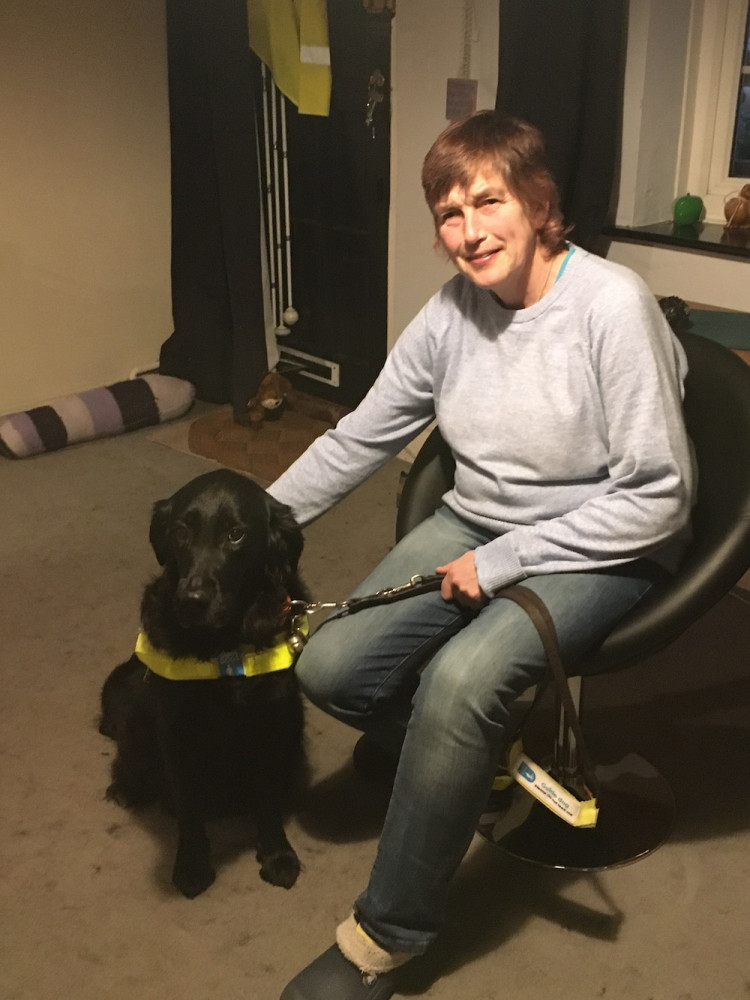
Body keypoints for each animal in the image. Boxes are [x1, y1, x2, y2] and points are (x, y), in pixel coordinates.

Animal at [98, 468, 310, 900]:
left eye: (236, 534)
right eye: (181, 532)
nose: (193, 599)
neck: (221, 646)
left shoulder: (269, 724)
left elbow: (266, 798)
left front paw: (277, 853)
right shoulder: (177, 731)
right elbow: (189, 806)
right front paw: (192, 864)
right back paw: (127, 788)